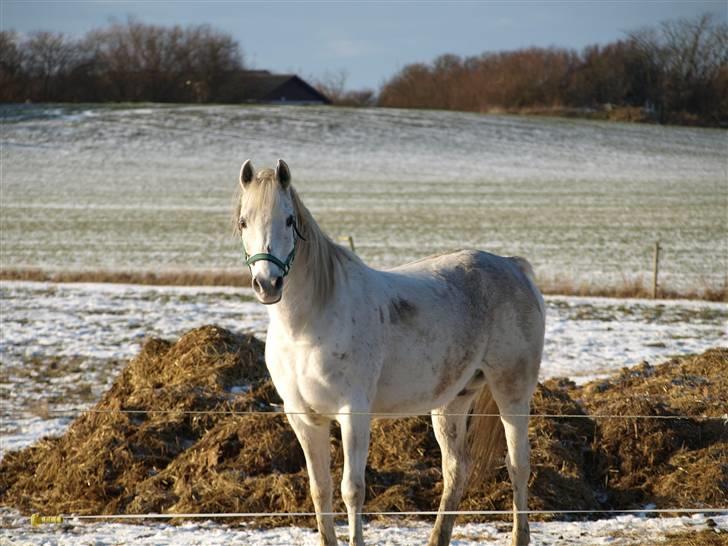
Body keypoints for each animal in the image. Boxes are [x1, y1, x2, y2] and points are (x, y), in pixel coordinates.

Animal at [235, 159, 544, 540]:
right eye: (243, 221)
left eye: (290, 220)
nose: (268, 284)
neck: (305, 328)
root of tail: (513, 265)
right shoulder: (304, 419)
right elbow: (320, 491)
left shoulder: (353, 414)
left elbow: (352, 490)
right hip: (452, 401)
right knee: (456, 468)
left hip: (512, 392)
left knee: (518, 466)